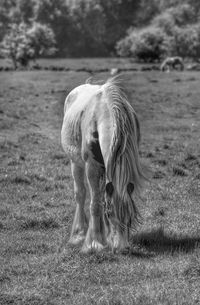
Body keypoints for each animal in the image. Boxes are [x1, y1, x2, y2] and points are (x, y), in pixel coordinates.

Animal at [60, 78, 145, 252]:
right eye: (110, 214)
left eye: (130, 218)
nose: (122, 248)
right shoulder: (91, 166)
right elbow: (96, 204)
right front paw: (94, 243)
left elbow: (102, 200)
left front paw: (104, 239)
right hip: (76, 163)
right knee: (81, 195)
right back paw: (79, 235)